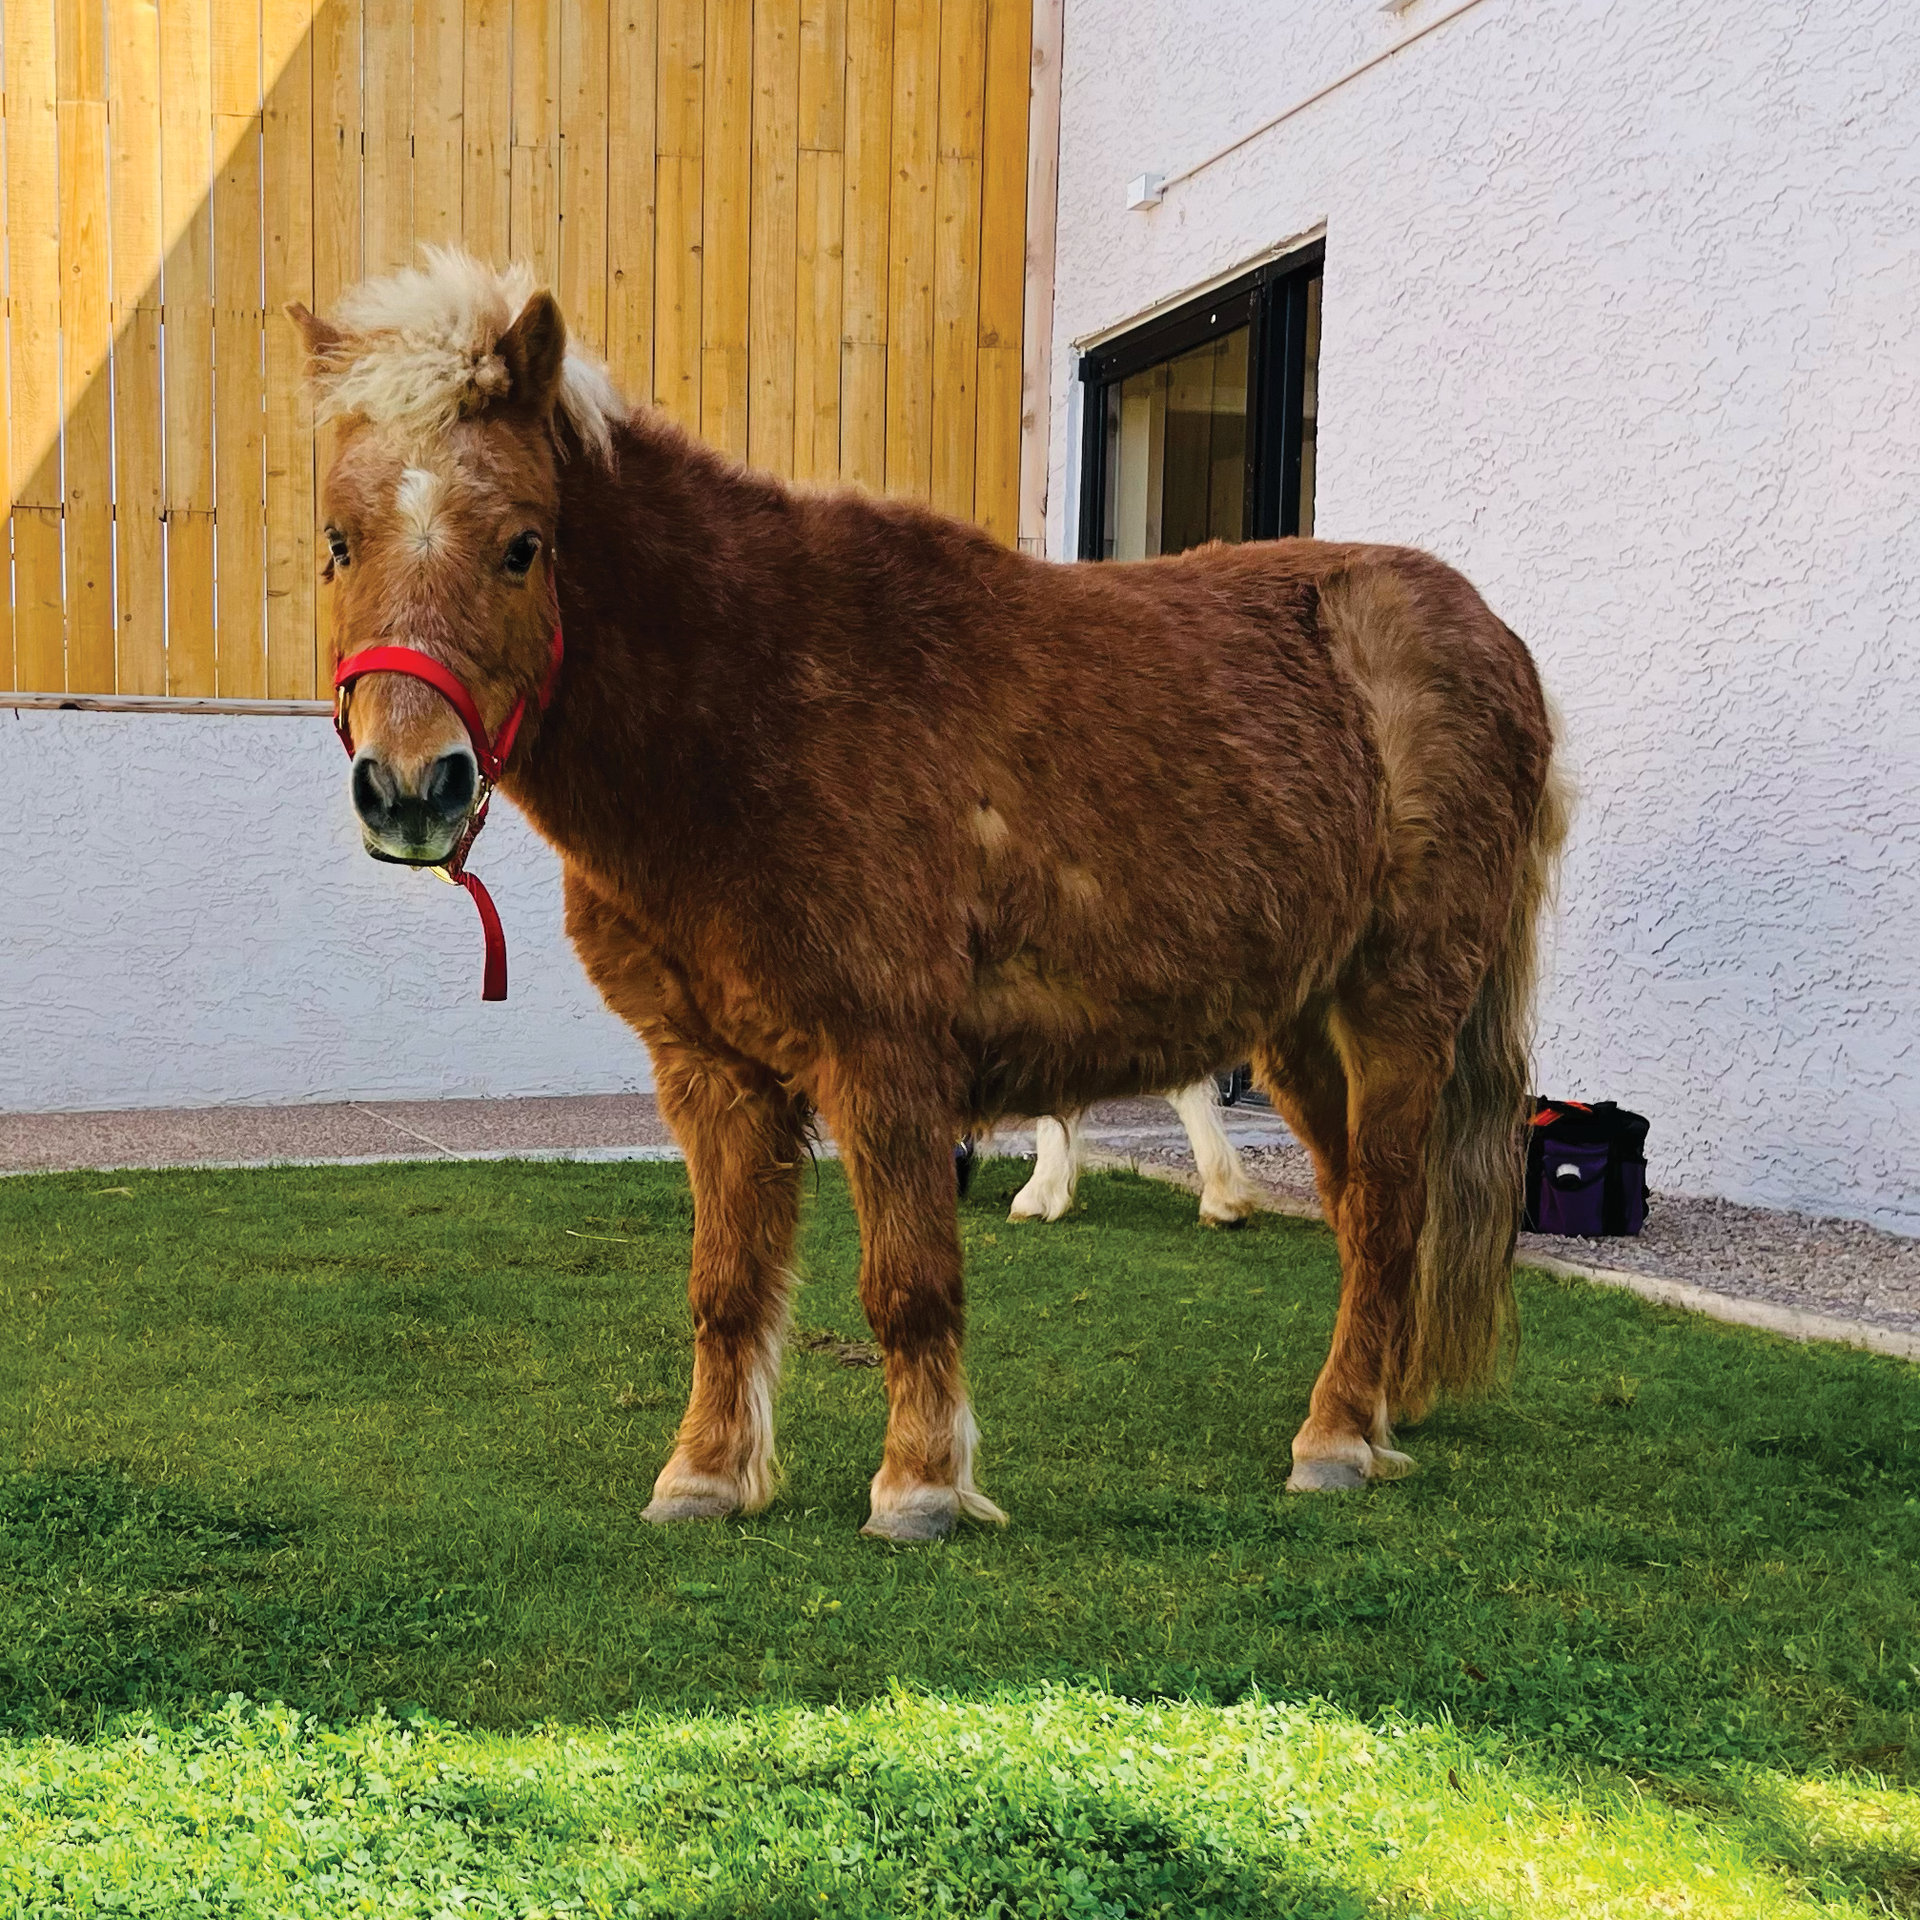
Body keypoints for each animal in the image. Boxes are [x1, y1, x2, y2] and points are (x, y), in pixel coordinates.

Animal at [291, 255, 1566, 1543]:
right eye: (338, 542)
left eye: (522, 545)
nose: (411, 787)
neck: (757, 710)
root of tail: (1491, 638)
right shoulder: (710, 1073)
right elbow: (725, 1287)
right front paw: (706, 1475)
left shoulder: (887, 1055)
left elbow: (907, 1283)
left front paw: (919, 1486)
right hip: (1301, 1025)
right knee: (1361, 1215)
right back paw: (1378, 1406)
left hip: (1398, 1007)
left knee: (1393, 1208)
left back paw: (1339, 1438)